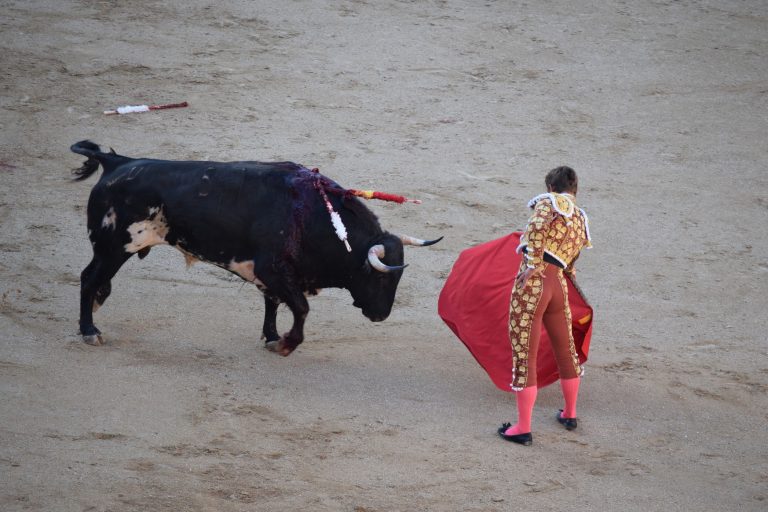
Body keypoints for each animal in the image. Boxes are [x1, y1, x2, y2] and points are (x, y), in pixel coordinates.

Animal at [76, 141, 444, 356]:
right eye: (380, 277)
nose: (381, 315)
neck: (315, 215)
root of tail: (116, 161)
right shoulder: (274, 269)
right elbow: (300, 308)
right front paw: (286, 344)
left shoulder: (275, 274)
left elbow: (274, 304)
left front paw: (271, 336)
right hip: (112, 248)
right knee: (89, 279)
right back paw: (89, 331)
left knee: (95, 280)